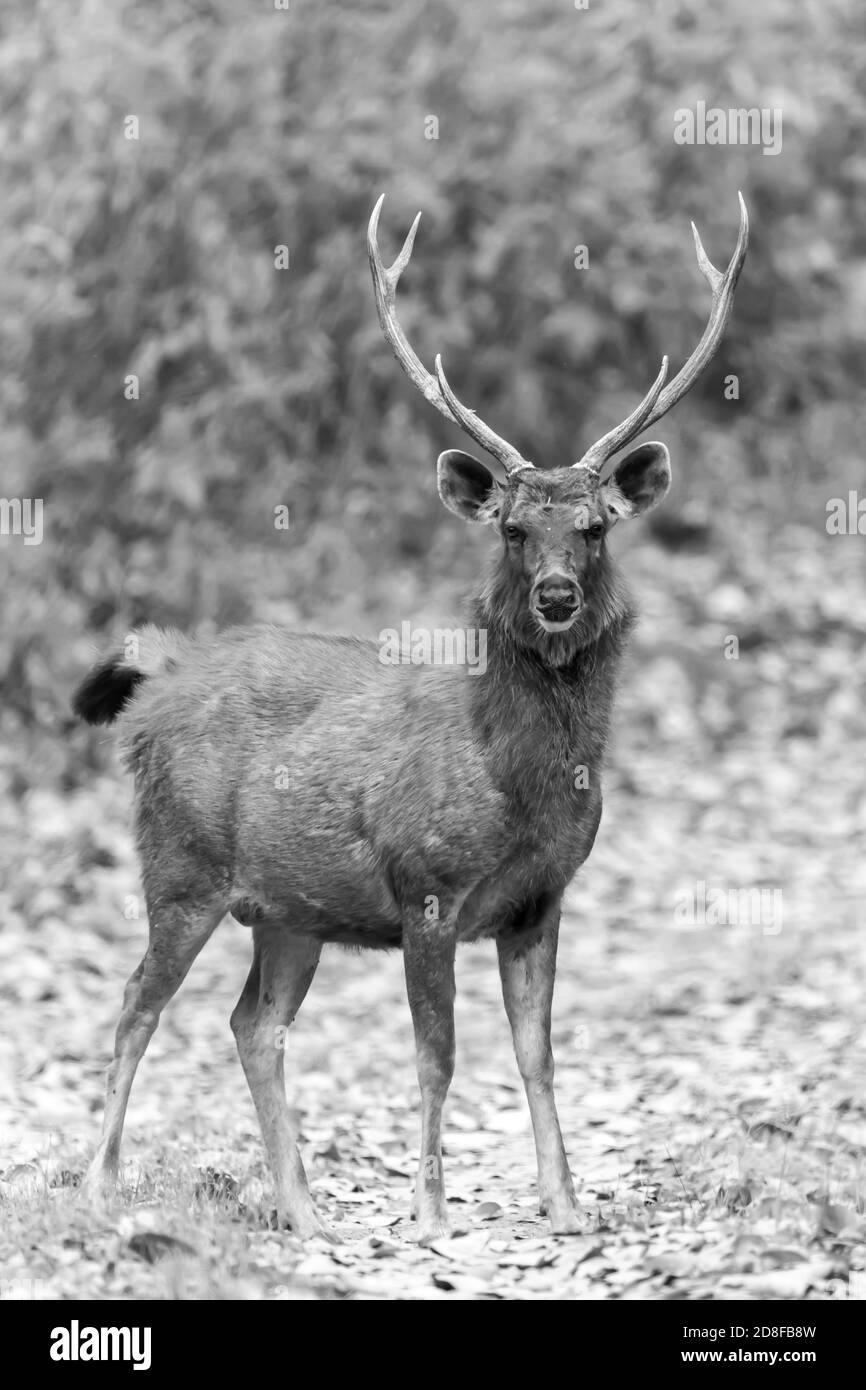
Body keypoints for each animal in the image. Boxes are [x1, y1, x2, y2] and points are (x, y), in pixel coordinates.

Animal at [74, 192, 748, 1244]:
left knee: (252, 1024)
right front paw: (430, 1209)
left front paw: (566, 1205)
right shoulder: (425, 889)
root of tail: (156, 680)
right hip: (180, 864)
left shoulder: (542, 899)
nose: (556, 595)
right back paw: (102, 1190)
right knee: (137, 1008)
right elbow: (439, 1055)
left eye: (594, 527)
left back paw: (302, 1208)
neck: (519, 786)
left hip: (289, 911)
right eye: (512, 529)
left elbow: (537, 1054)